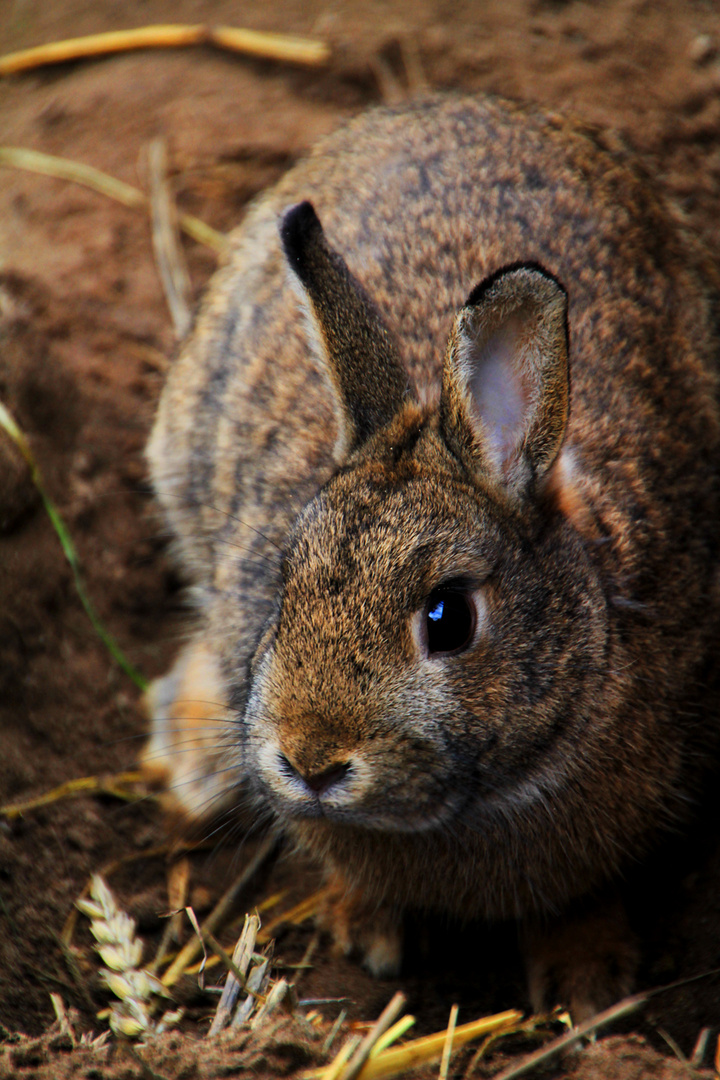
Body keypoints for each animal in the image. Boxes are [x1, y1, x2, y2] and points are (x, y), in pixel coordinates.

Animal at [140, 95, 720, 1019]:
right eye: (285, 587)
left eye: (448, 619)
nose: (310, 761)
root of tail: (450, 104)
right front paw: (363, 931)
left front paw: (587, 985)